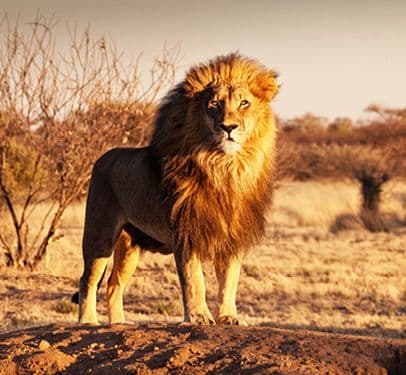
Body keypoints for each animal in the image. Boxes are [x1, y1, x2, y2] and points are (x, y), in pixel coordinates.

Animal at [75, 53, 280, 326]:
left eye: (244, 103)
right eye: (214, 104)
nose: (229, 127)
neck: (225, 168)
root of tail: (102, 158)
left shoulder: (233, 235)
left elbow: (230, 281)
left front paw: (228, 317)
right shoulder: (186, 232)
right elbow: (194, 280)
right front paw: (199, 317)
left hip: (129, 245)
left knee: (113, 284)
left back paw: (119, 323)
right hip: (100, 234)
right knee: (88, 279)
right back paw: (88, 322)